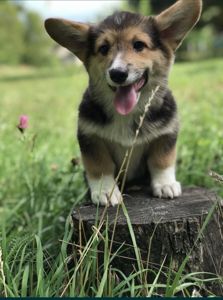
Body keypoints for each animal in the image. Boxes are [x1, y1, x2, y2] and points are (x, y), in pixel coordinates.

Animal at [44, 0, 202, 206]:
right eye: (103, 48)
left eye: (139, 45)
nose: (117, 74)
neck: (128, 113)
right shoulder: (90, 138)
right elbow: (100, 166)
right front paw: (105, 191)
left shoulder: (166, 134)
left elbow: (161, 161)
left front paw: (165, 185)